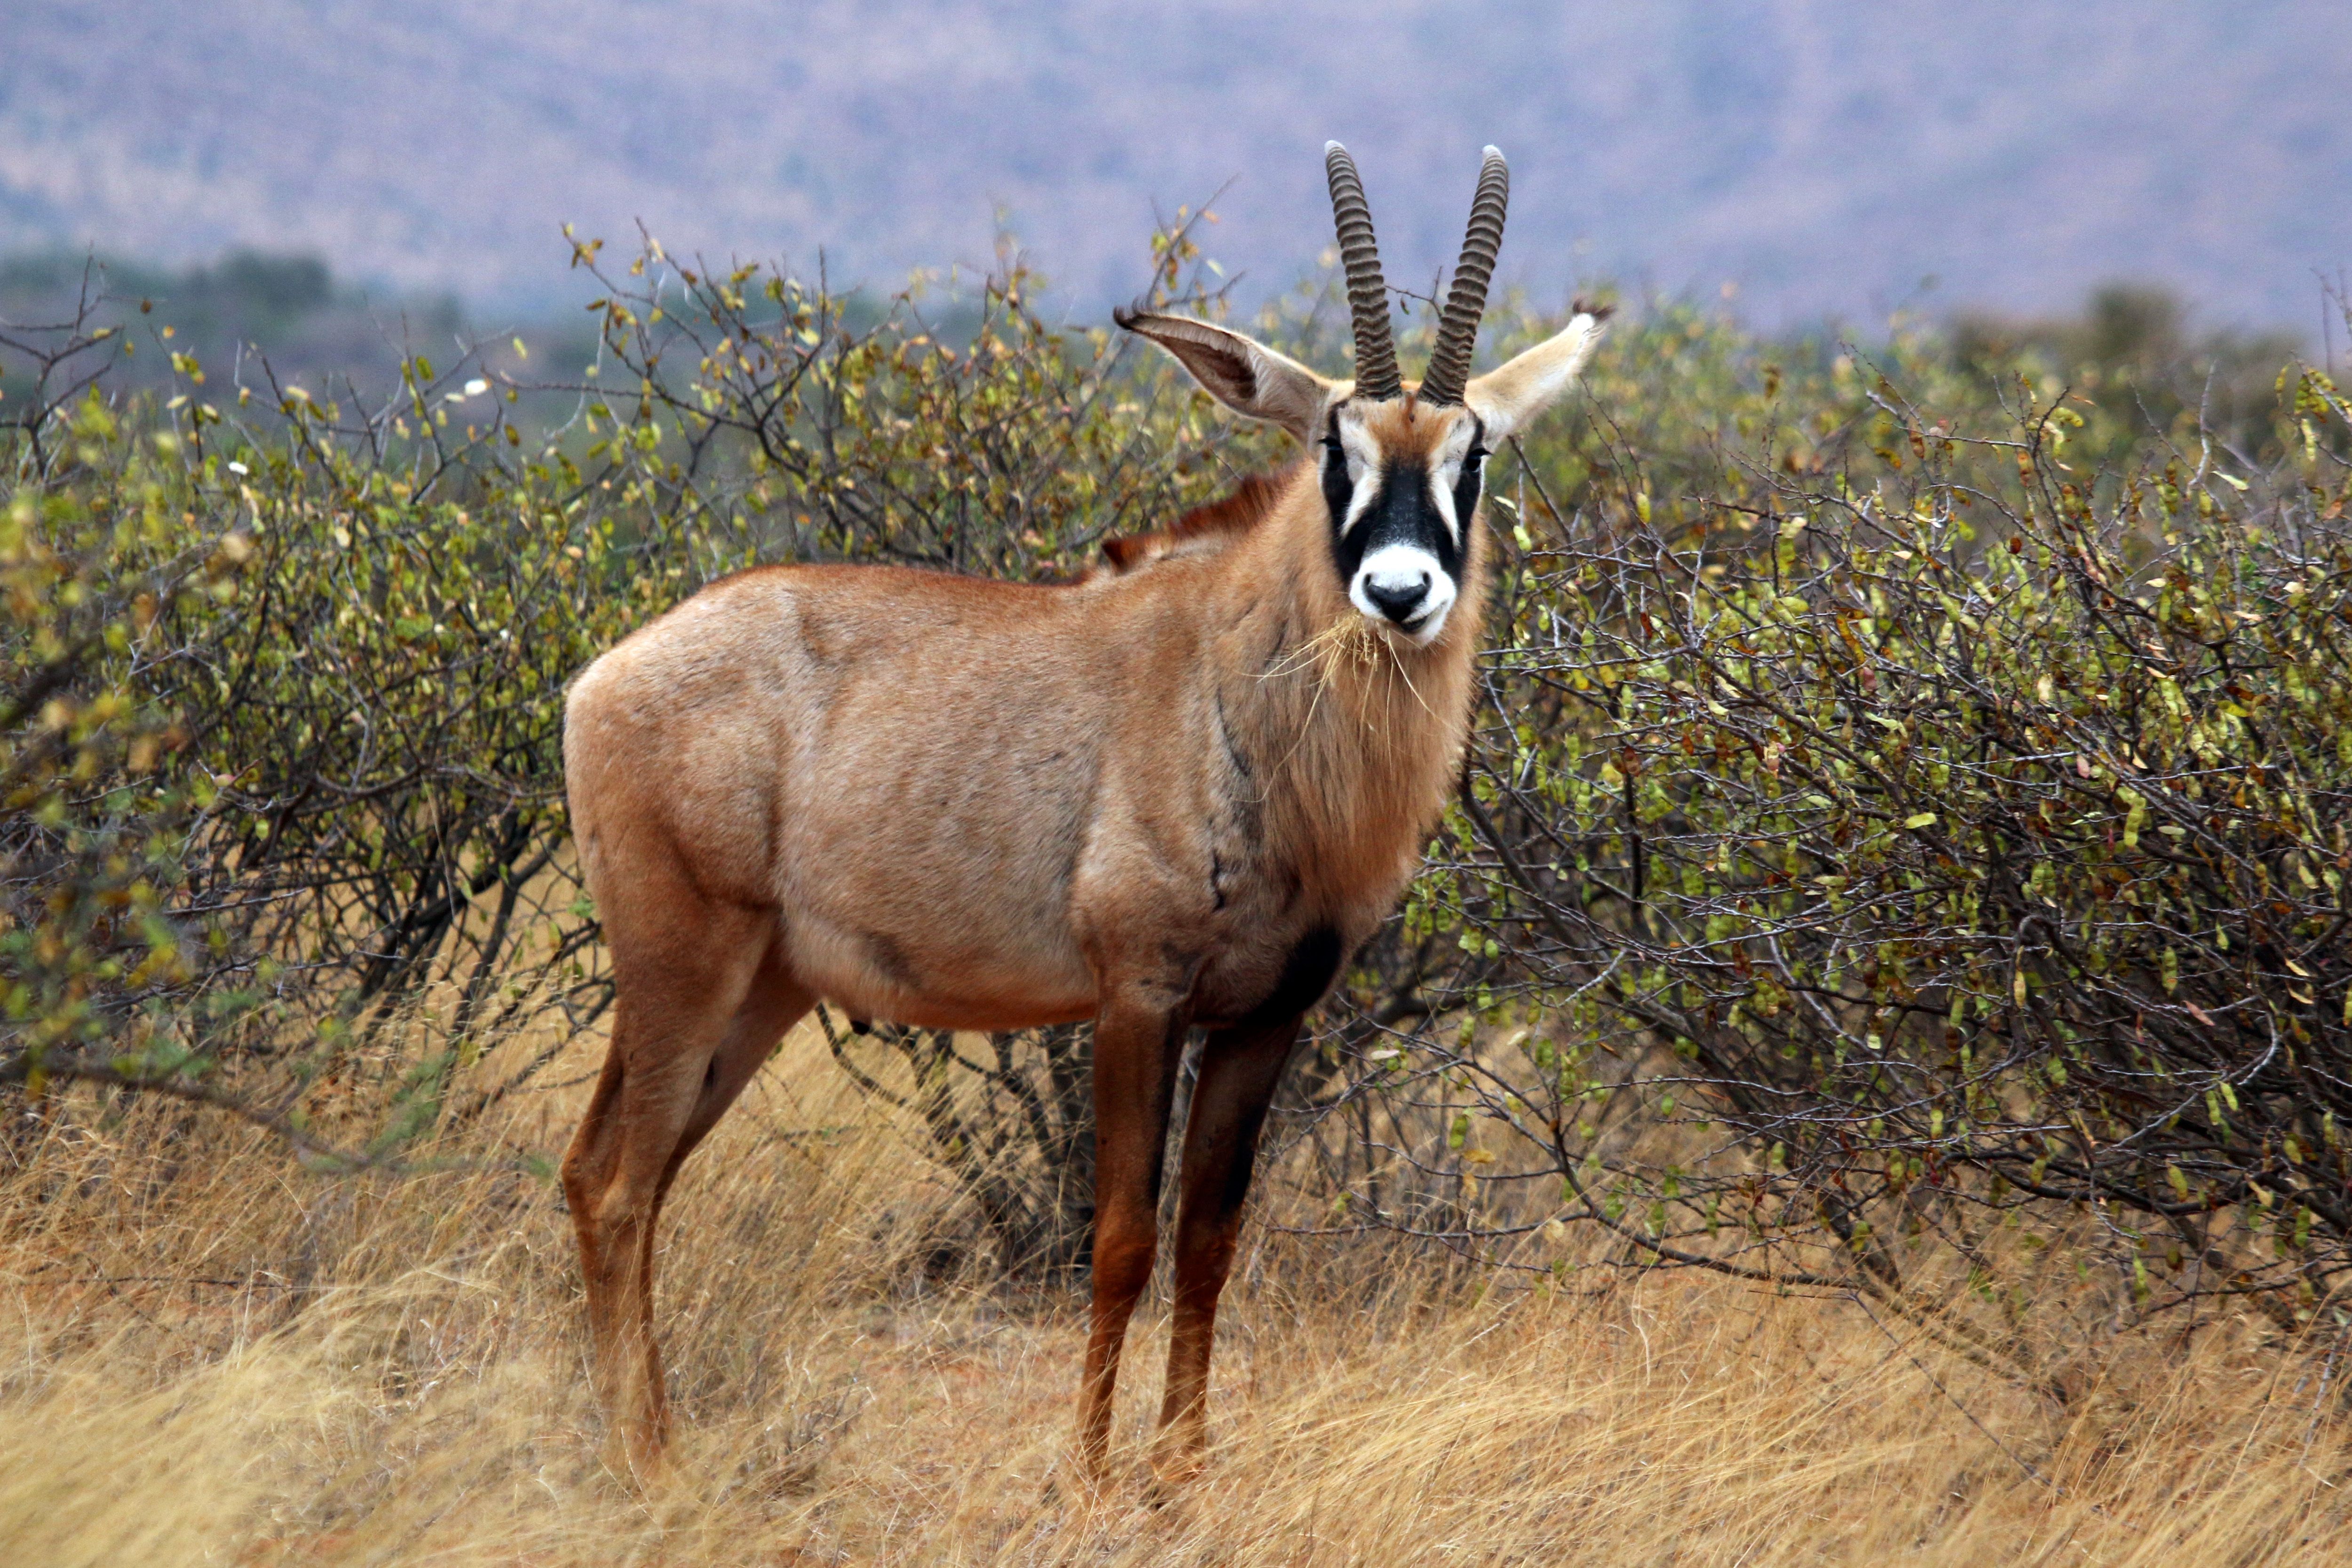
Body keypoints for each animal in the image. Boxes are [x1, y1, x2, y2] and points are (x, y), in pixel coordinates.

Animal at [558, 141, 1606, 1484]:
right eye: (1337, 448)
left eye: (1471, 457)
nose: (1398, 590)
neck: (1234, 677)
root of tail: (605, 675)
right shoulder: (1134, 996)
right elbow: (1117, 1240)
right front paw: (1098, 1476)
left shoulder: (1266, 1018)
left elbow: (1207, 1244)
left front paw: (1180, 1479)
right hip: (683, 963)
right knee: (618, 1184)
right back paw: (650, 1465)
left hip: (759, 991)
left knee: (615, 1175)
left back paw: (646, 1442)